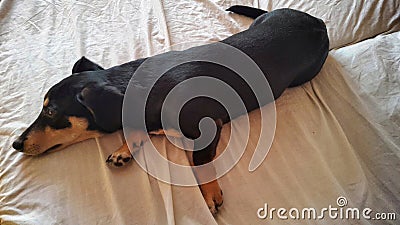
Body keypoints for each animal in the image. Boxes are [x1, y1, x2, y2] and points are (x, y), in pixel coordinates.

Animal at [11, 5, 328, 214]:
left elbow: (200, 160)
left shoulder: (209, 124)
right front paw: (124, 150)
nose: (15, 144)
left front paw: (210, 194)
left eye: (51, 112)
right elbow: (137, 131)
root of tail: (318, 22)